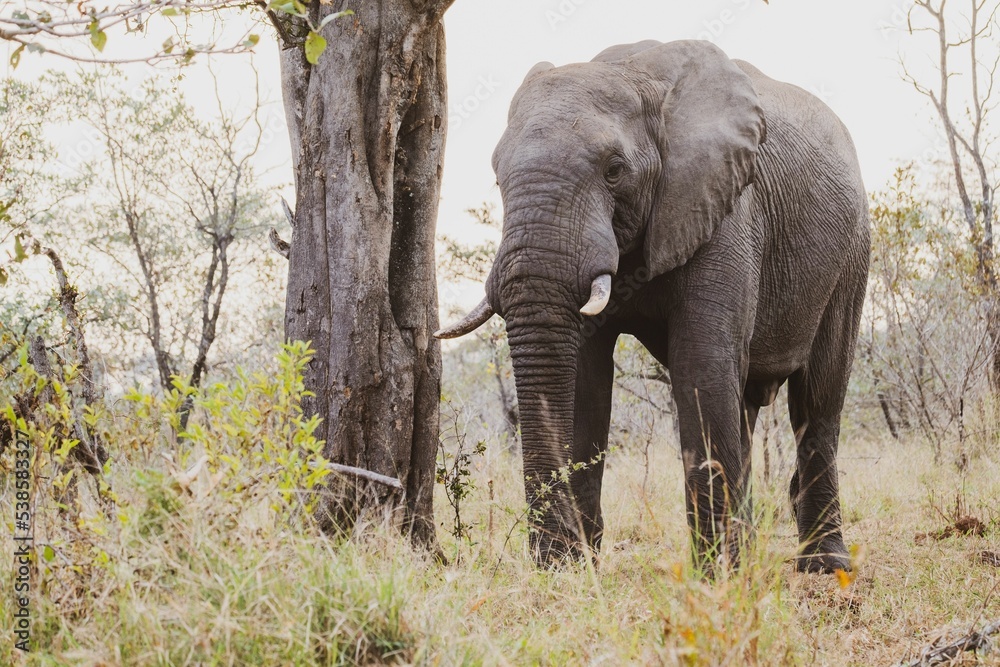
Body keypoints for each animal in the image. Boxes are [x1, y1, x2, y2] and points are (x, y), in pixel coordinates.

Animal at [436, 40, 868, 576]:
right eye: (496, 178)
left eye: (614, 170)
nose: (547, 561)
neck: (638, 78)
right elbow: (583, 379)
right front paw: (574, 570)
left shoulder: (723, 206)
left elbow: (701, 366)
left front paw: (716, 579)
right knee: (746, 405)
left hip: (852, 252)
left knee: (818, 399)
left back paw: (824, 566)